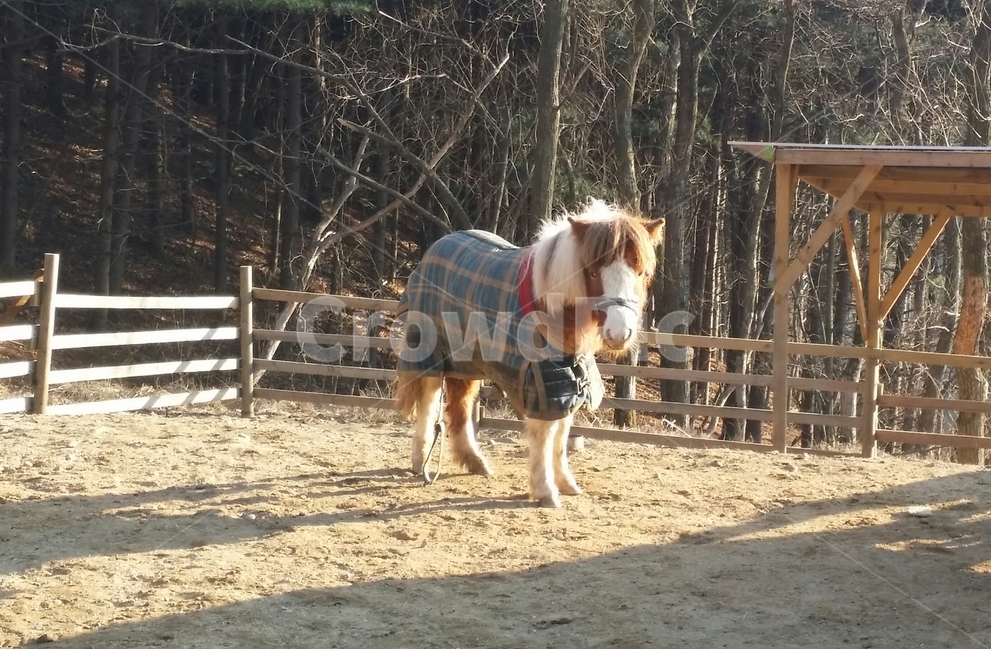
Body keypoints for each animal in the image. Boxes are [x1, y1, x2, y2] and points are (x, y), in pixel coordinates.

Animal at [393, 200, 664, 507]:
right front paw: (546, 491)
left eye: (641, 272)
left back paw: (475, 462)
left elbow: (561, 434)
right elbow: (545, 436)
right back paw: (420, 462)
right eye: (594, 272)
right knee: (428, 402)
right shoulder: (541, 382)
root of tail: (437, 247)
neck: (548, 306)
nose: (620, 334)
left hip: (466, 362)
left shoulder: (566, 381)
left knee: (459, 408)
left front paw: (566, 483)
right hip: (429, 352)